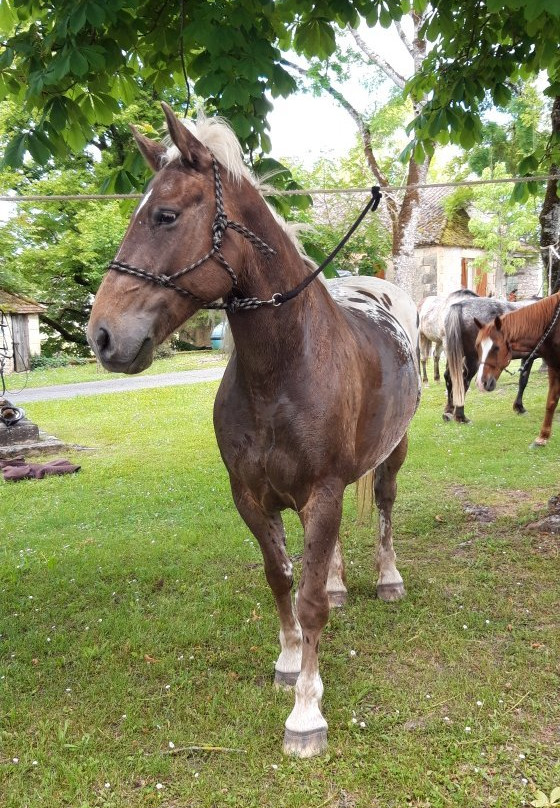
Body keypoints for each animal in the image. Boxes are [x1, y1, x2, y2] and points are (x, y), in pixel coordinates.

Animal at [86, 105, 420, 756]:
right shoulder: (251, 495)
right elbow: (282, 577)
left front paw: (306, 713)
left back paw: (387, 578)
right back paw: (342, 584)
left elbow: (309, 603)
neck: (283, 370)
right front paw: (290, 662)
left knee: (387, 505)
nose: (103, 336)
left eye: (165, 215)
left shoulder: (322, 492)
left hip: (393, 453)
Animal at [474, 294, 560, 448]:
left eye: (496, 347)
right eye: (477, 346)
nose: (481, 383)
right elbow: (551, 401)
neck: (553, 327)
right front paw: (542, 438)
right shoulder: (554, 366)